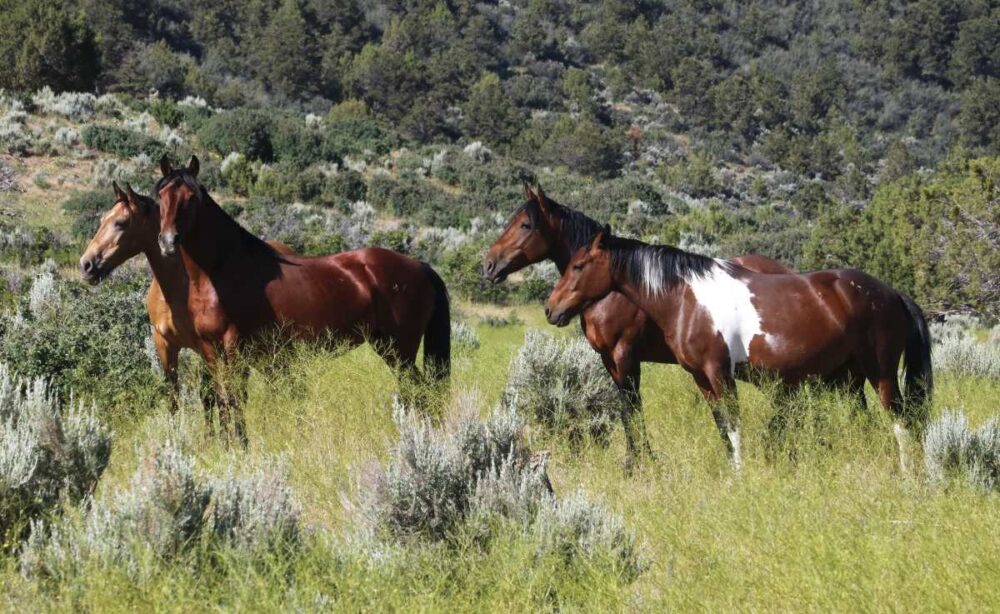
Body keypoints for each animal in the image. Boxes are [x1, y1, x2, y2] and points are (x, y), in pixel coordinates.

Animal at [79, 183, 296, 434]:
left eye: (121, 222)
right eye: (103, 219)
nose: (86, 265)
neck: (176, 292)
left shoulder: (203, 346)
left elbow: (211, 396)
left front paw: (217, 437)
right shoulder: (165, 344)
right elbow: (173, 398)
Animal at [154, 156, 452, 446]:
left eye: (191, 197)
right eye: (161, 195)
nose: (168, 241)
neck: (221, 272)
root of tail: (419, 266)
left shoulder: (233, 346)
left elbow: (235, 398)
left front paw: (240, 446)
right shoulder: (209, 349)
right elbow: (222, 399)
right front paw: (226, 447)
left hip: (401, 348)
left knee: (420, 391)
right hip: (386, 345)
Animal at [484, 185, 796, 470]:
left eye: (525, 224)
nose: (488, 264)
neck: (613, 291)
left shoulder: (625, 356)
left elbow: (631, 410)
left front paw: (640, 463)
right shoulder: (608, 359)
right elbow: (628, 410)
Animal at [544, 226, 932, 472]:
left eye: (578, 266)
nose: (551, 309)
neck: (688, 298)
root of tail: (891, 293)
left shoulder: (720, 374)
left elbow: (734, 426)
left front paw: (741, 476)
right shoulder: (702, 379)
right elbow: (722, 428)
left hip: (880, 375)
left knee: (902, 422)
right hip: (849, 378)